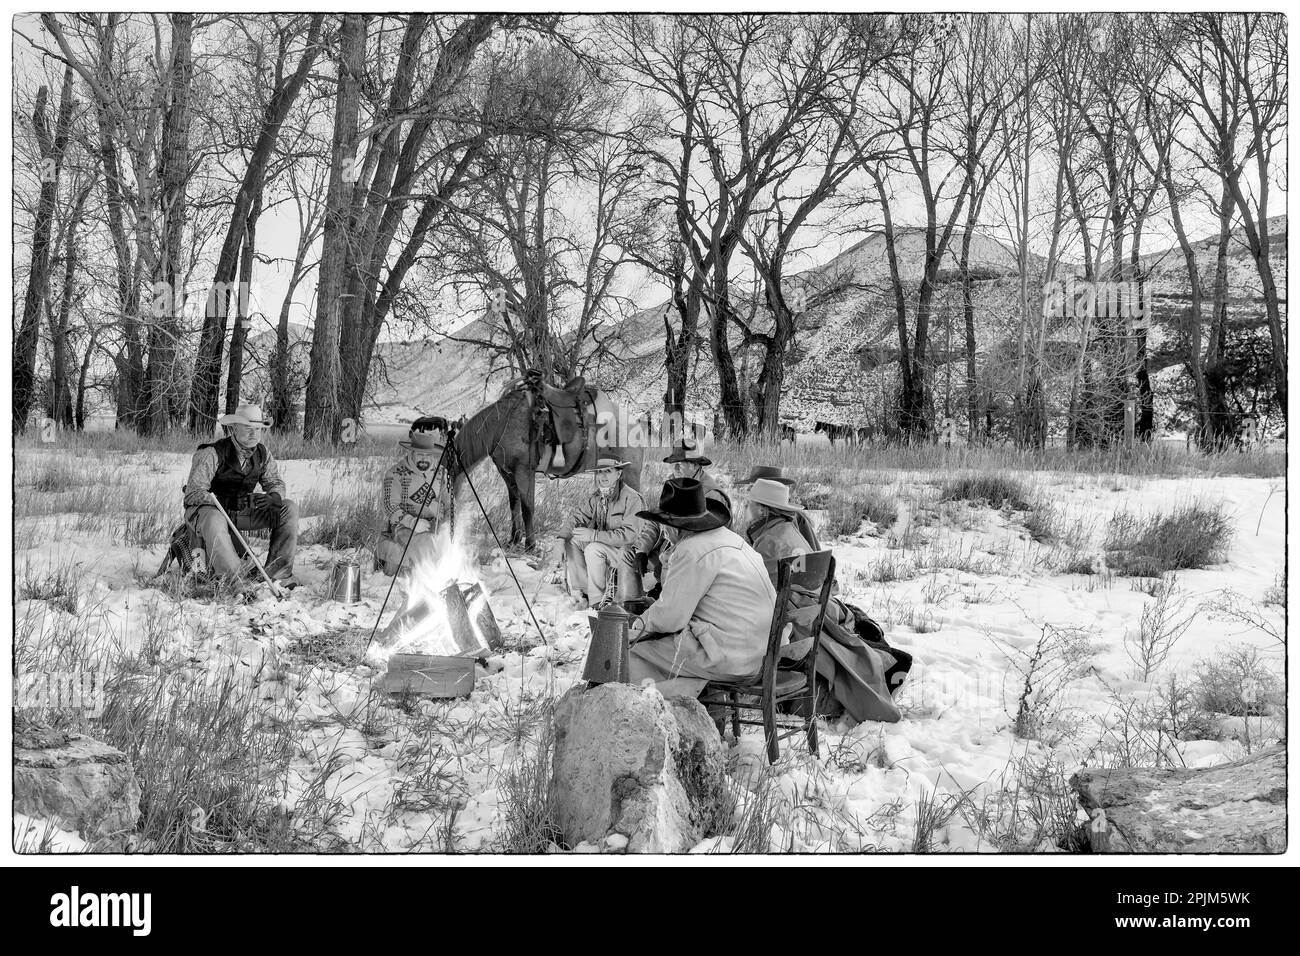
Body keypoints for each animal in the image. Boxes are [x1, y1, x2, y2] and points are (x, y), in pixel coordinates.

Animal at [452, 374, 644, 554]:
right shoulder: (506, 473)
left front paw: (530, 545)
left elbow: (527, 508)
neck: (504, 424)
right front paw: (513, 540)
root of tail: (635, 423)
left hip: (630, 473)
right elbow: (514, 505)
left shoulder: (524, 472)